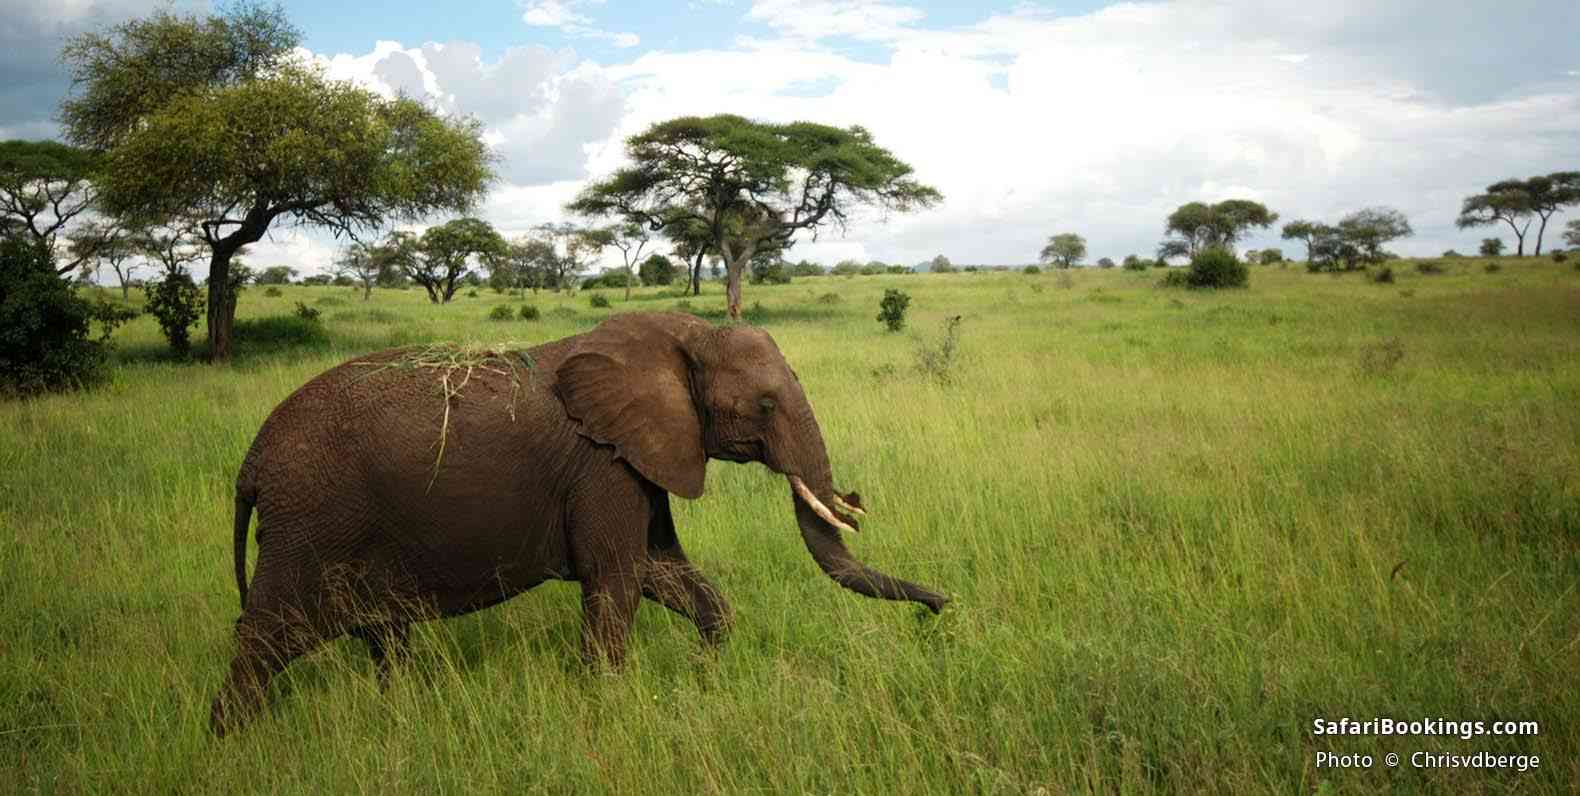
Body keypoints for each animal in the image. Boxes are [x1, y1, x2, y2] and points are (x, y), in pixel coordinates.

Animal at [210, 309, 948, 732]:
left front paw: (705, 678)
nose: (939, 609)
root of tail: (251, 461)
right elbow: (616, 581)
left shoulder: (638, 454)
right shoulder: (601, 465)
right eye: (765, 405)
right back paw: (229, 744)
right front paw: (610, 711)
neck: (679, 336)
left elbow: (664, 573)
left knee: (383, 638)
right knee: (266, 638)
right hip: (312, 520)